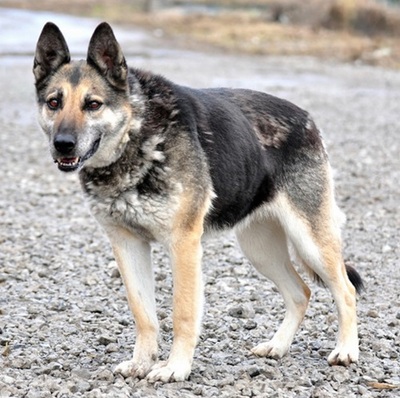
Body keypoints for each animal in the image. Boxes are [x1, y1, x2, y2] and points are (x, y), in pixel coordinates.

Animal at [33, 21, 362, 382]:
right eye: (54, 103)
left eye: (93, 104)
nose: (63, 144)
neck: (137, 135)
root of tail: (307, 119)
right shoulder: (127, 245)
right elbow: (143, 314)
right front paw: (142, 362)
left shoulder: (183, 245)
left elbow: (183, 313)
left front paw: (175, 367)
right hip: (260, 250)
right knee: (300, 293)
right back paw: (278, 346)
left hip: (310, 242)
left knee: (345, 290)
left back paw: (346, 350)